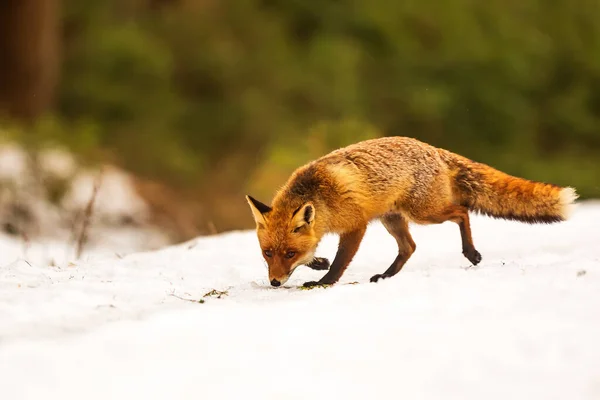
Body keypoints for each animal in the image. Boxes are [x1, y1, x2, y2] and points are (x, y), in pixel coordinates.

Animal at [245, 136, 576, 286]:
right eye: (267, 253)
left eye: (288, 253)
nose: (274, 283)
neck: (322, 197)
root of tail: (433, 148)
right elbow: (317, 252)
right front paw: (317, 262)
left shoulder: (356, 225)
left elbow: (340, 262)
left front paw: (324, 281)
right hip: (393, 218)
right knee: (410, 247)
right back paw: (386, 275)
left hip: (423, 213)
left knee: (461, 211)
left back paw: (471, 253)